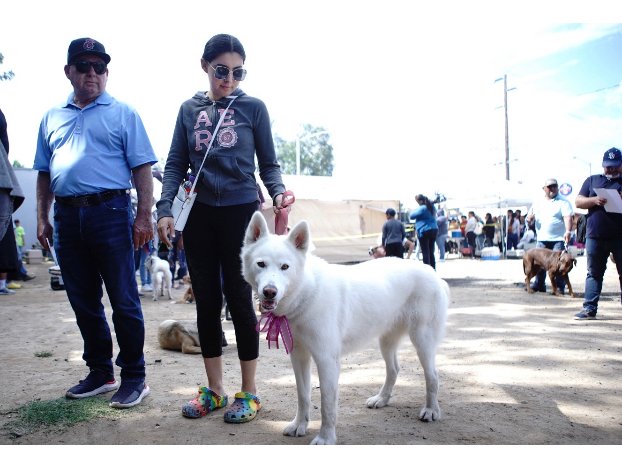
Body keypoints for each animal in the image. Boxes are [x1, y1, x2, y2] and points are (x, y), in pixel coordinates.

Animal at [241, 211, 450, 442]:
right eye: (261, 264)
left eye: (285, 267)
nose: (270, 292)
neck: (307, 291)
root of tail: (433, 273)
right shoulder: (299, 357)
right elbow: (303, 396)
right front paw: (299, 425)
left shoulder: (327, 360)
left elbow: (327, 404)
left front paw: (326, 438)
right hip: (386, 340)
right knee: (394, 369)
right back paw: (382, 399)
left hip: (422, 340)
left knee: (433, 376)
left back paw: (431, 410)